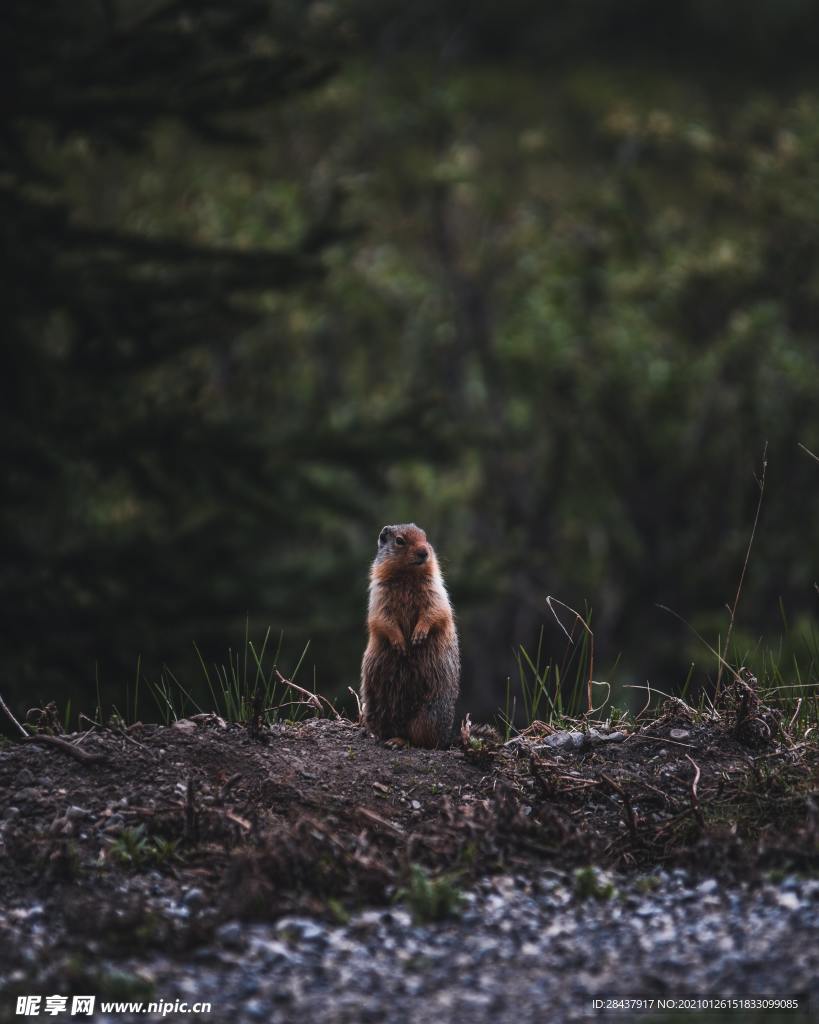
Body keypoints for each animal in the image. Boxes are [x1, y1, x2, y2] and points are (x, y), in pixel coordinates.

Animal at [360, 524, 460, 749]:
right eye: (399, 541)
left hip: (430, 712)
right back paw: (388, 738)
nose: (424, 552)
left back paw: (400, 741)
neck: (407, 576)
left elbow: (435, 610)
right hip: (375, 705)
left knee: (420, 740)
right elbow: (382, 618)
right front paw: (400, 643)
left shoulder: (435, 588)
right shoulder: (379, 593)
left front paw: (418, 636)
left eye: (425, 537)